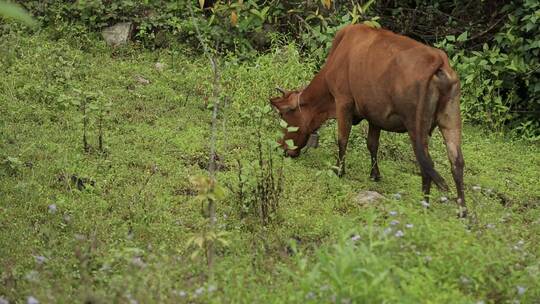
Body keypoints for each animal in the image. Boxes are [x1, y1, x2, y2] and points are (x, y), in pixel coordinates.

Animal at [272, 25, 466, 217]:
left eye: (283, 115)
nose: (282, 149)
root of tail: (438, 59)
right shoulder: (375, 115)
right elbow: (372, 144)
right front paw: (375, 174)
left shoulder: (343, 101)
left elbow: (342, 139)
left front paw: (339, 170)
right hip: (451, 120)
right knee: (456, 162)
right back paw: (462, 211)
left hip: (416, 126)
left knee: (426, 163)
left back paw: (424, 204)